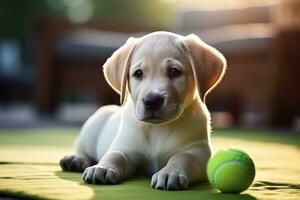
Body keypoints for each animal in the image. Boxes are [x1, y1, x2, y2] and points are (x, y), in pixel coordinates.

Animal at [59, 30, 226, 190]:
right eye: (138, 73)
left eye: (174, 71)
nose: (152, 101)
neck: (158, 129)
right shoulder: (126, 148)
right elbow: (115, 155)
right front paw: (103, 167)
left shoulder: (198, 151)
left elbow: (183, 157)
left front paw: (171, 172)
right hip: (91, 129)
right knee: (82, 148)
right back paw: (76, 159)